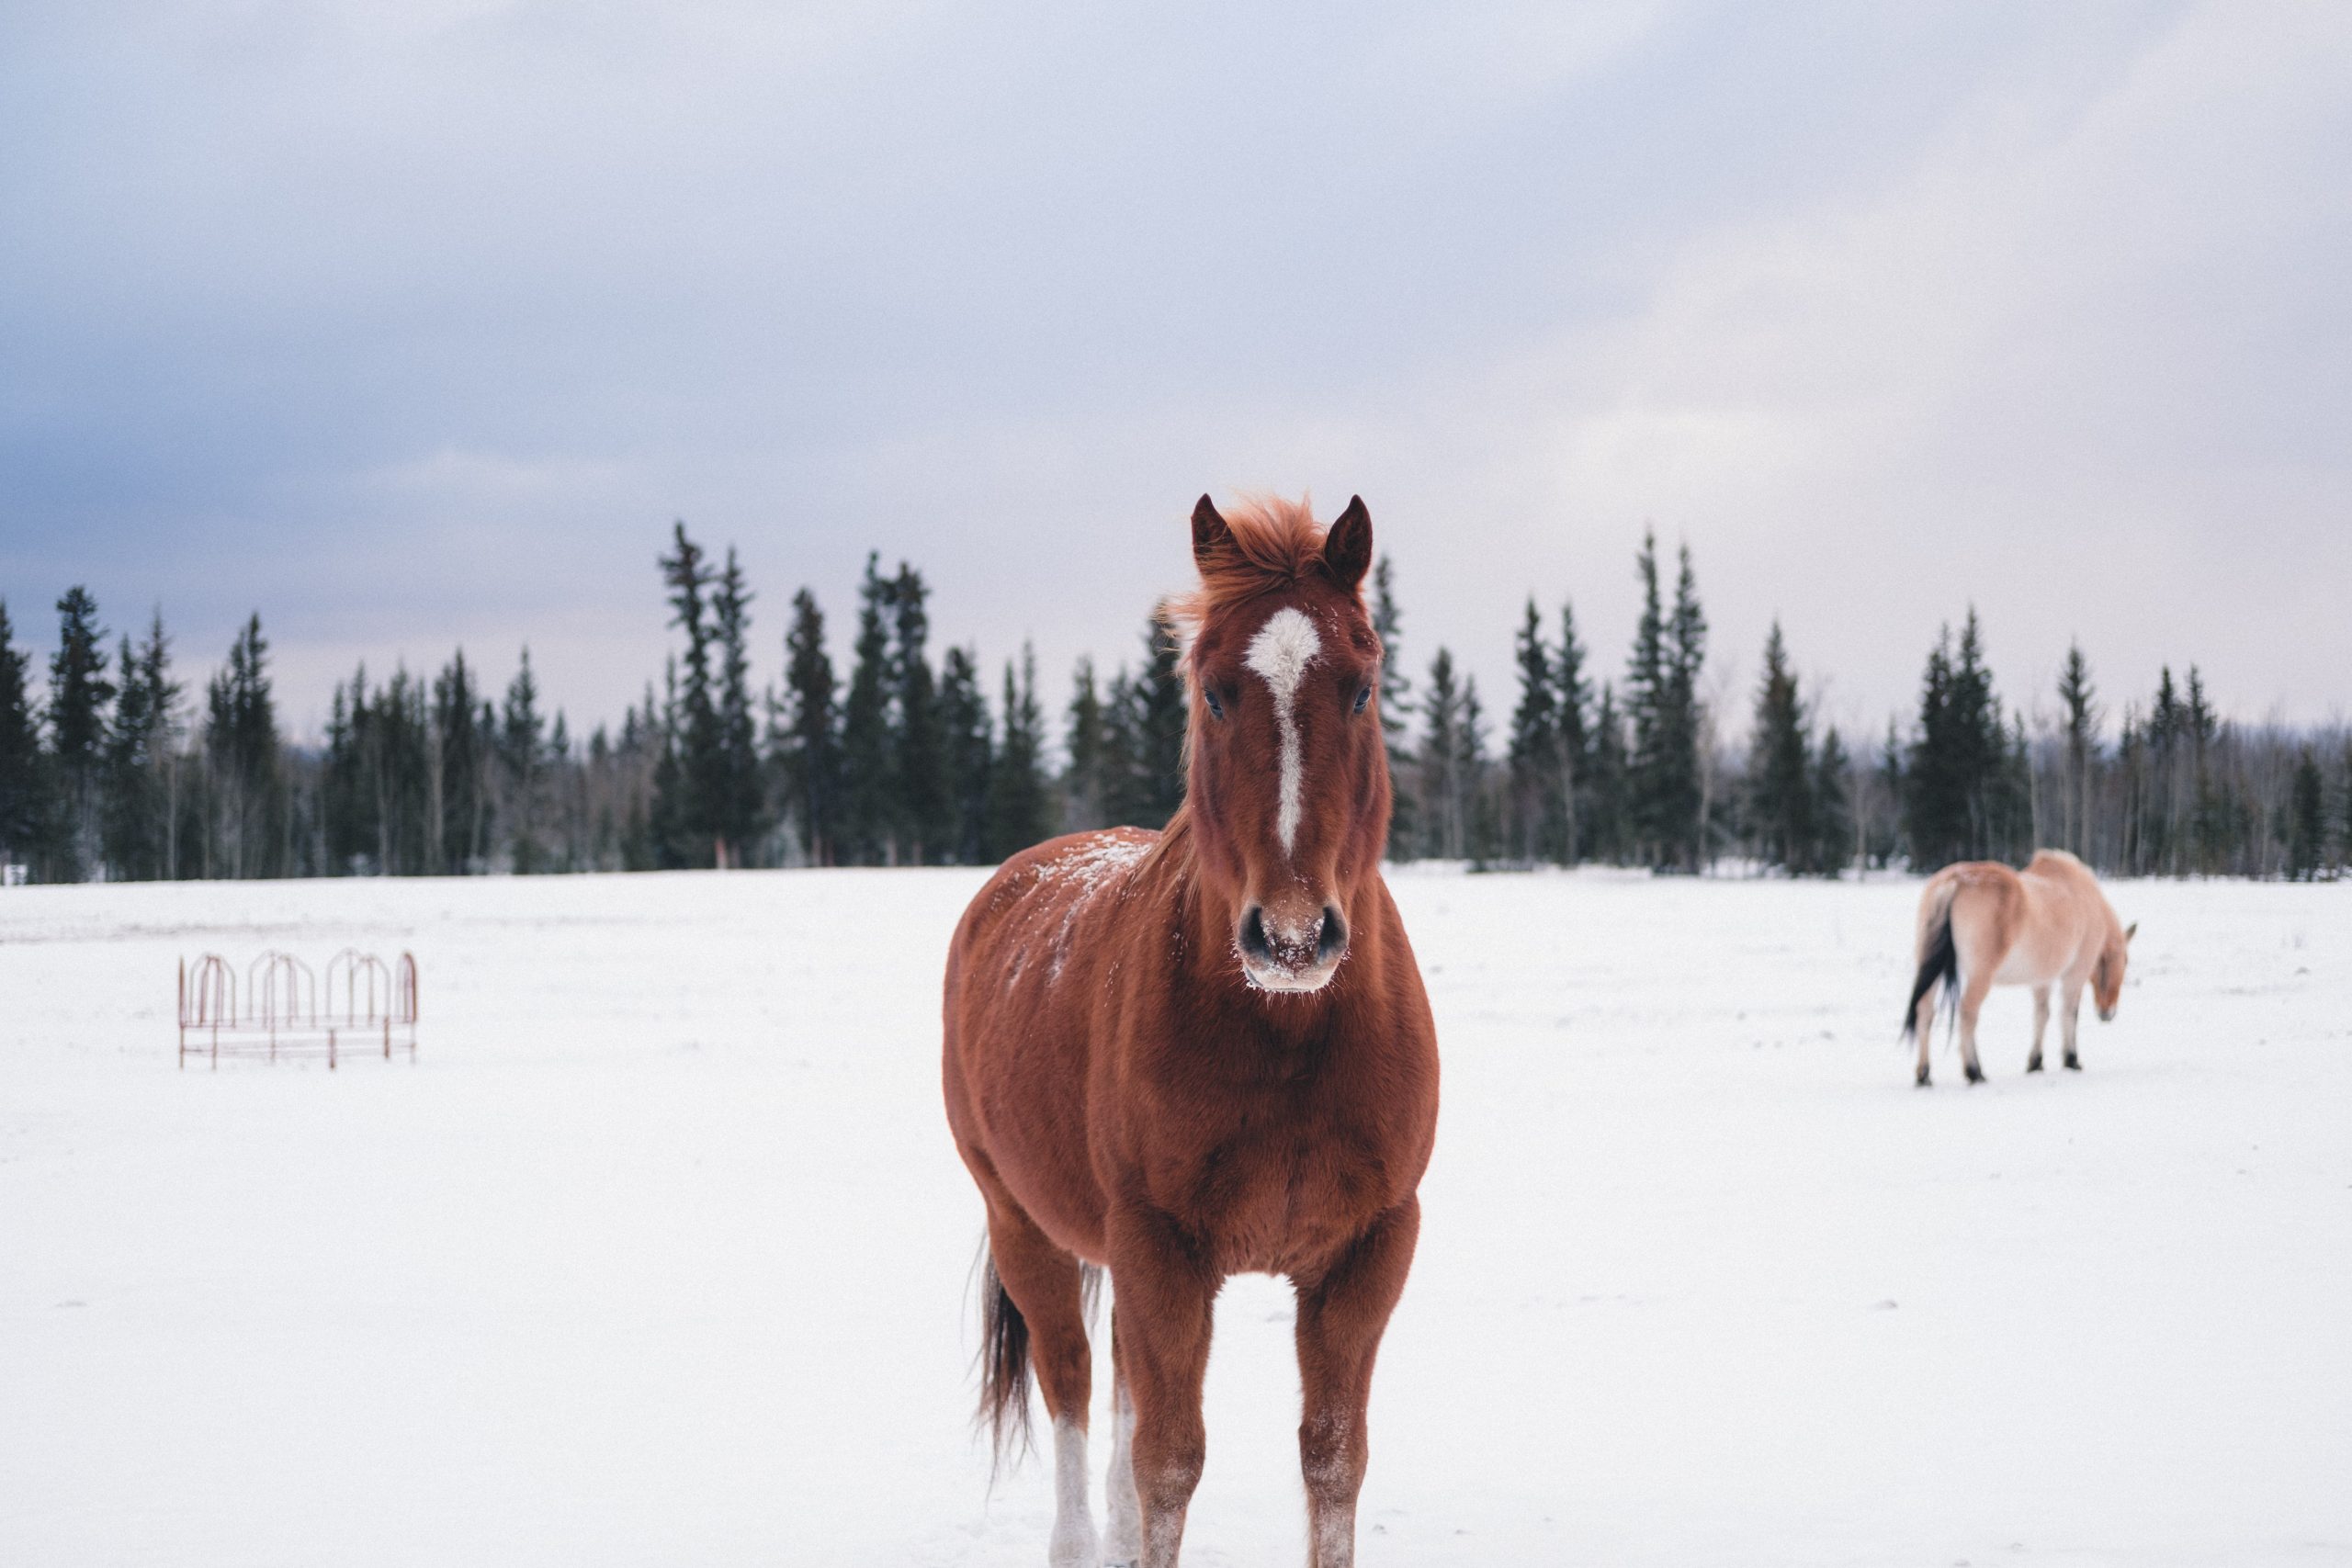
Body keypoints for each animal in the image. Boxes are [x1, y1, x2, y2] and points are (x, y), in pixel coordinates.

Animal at [945, 493, 1439, 1568]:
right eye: (1213, 691)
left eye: (1363, 687)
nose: (1291, 935)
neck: (1286, 1036)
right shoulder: (1160, 1250)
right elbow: (1169, 1465)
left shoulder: (1367, 1252)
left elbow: (1331, 1462)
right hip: (1025, 1227)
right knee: (1077, 1391)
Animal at [1900, 851, 2144, 1086]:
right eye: (2124, 961)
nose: (2107, 1013)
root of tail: (1955, 881)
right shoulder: (2074, 975)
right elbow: (2069, 1014)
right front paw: (2071, 1060)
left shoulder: (2041, 980)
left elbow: (2042, 1015)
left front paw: (2036, 1062)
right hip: (1981, 976)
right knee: (1968, 1012)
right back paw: (1974, 1072)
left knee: (1924, 1012)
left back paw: (1924, 1075)